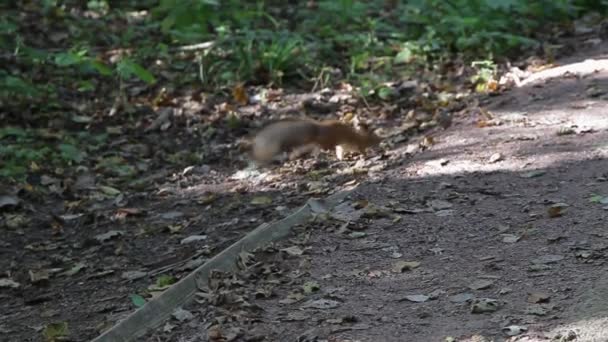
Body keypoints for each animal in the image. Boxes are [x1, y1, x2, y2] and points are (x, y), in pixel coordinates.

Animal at [248, 118, 380, 164]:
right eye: (375, 137)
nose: (381, 140)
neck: (362, 136)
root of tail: (318, 129)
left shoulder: (343, 147)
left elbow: (340, 152)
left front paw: (341, 158)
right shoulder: (360, 144)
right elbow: (362, 151)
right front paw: (367, 155)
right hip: (328, 141)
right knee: (321, 146)